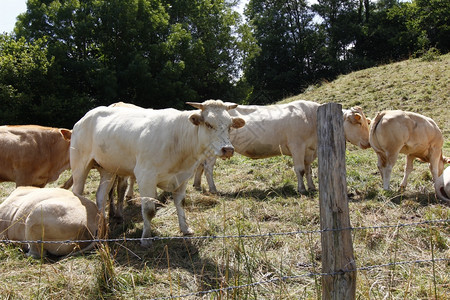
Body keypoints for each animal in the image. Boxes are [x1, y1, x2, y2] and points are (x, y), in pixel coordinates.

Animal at [71, 101, 246, 246]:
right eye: (209, 124)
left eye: (230, 125)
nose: (228, 149)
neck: (179, 141)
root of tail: (86, 116)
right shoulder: (145, 177)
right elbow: (149, 210)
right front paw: (146, 238)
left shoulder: (182, 178)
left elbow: (180, 203)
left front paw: (185, 229)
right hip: (80, 165)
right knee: (77, 192)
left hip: (108, 169)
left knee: (100, 196)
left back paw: (103, 225)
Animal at [192, 101, 370, 193]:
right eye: (358, 122)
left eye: (366, 122)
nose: (368, 143)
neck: (312, 118)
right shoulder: (297, 145)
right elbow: (300, 169)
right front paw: (302, 189)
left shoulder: (309, 150)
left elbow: (309, 170)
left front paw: (312, 187)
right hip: (214, 150)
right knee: (208, 167)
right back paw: (213, 189)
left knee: (200, 165)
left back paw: (197, 185)